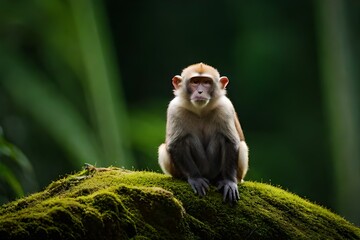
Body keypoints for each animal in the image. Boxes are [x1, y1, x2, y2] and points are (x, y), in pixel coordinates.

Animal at [159, 62, 249, 203]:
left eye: (206, 82)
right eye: (195, 82)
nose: (200, 91)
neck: (201, 111)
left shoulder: (225, 107)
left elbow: (230, 141)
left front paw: (228, 181)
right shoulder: (175, 109)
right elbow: (176, 143)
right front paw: (195, 178)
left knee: (233, 142)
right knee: (171, 145)